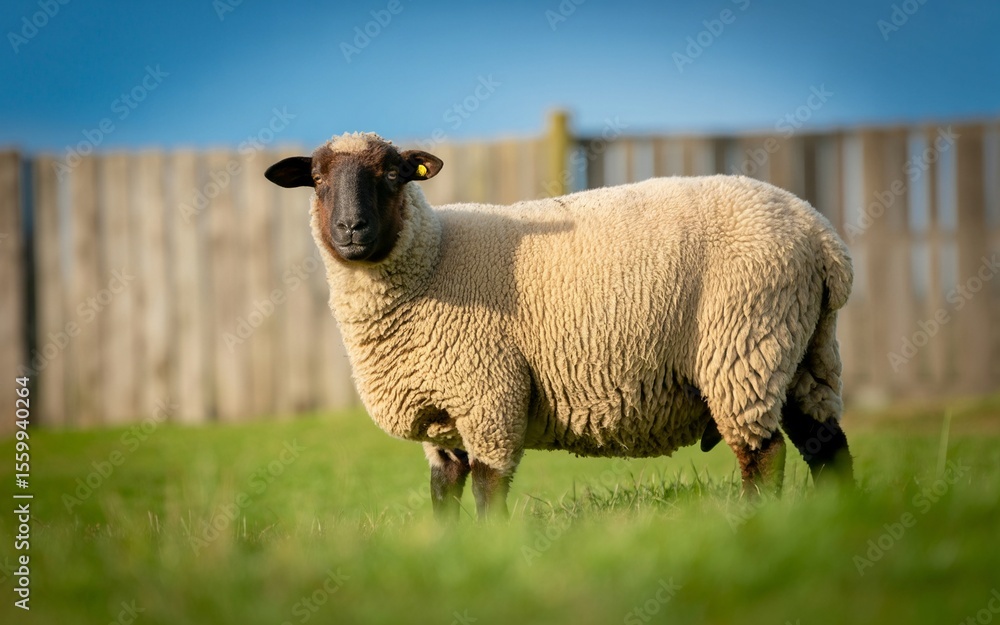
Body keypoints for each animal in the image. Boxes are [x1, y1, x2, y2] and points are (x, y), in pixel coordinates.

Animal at [264, 132, 855, 520]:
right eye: (316, 180)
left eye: (392, 175)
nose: (351, 228)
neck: (434, 257)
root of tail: (822, 237)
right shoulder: (443, 415)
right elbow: (443, 492)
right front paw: (451, 553)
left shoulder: (488, 393)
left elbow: (488, 488)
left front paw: (490, 551)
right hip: (802, 349)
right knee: (826, 443)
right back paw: (835, 524)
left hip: (743, 345)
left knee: (763, 453)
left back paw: (757, 524)